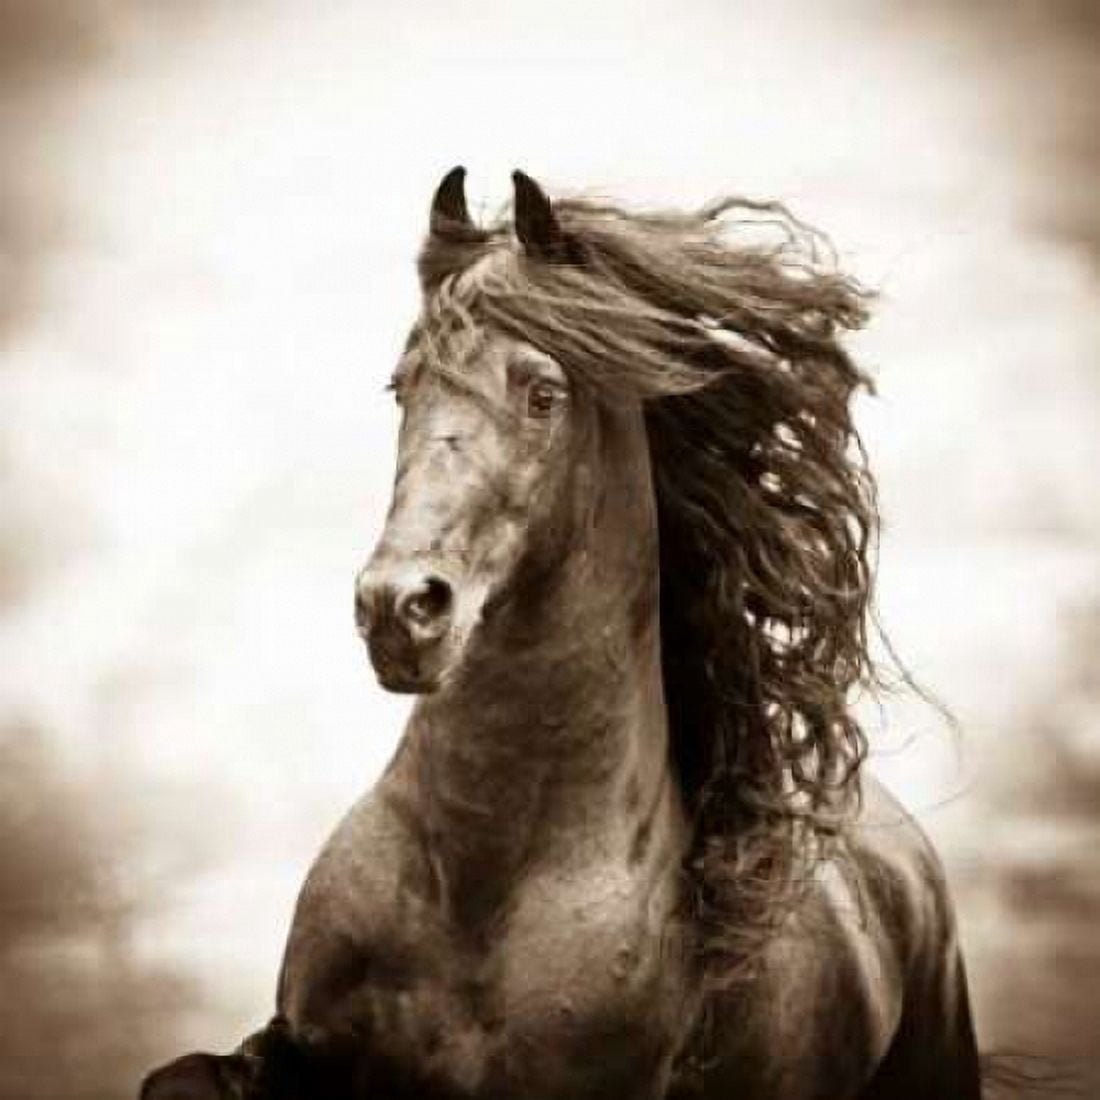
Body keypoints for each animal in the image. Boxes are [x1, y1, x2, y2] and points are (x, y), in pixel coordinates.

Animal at [141, 168, 983, 1100]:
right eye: (402, 387)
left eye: (542, 394)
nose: (398, 609)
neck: (484, 882)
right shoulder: (302, 1050)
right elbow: (181, 1077)